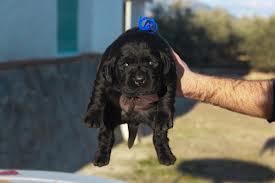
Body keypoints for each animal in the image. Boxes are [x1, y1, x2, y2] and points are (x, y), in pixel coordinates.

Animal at [84, 27, 178, 167]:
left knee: (159, 136)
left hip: (152, 119)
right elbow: (98, 93)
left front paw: (164, 117)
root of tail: (133, 119)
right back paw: (101, 157)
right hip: (108, 118)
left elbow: (167, 96)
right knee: (106, 135)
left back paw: (166, 156)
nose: (139, 80)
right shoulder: (102, 74)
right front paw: (92, 115)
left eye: (151, 62)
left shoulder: (170, 74)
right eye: (125, 65)